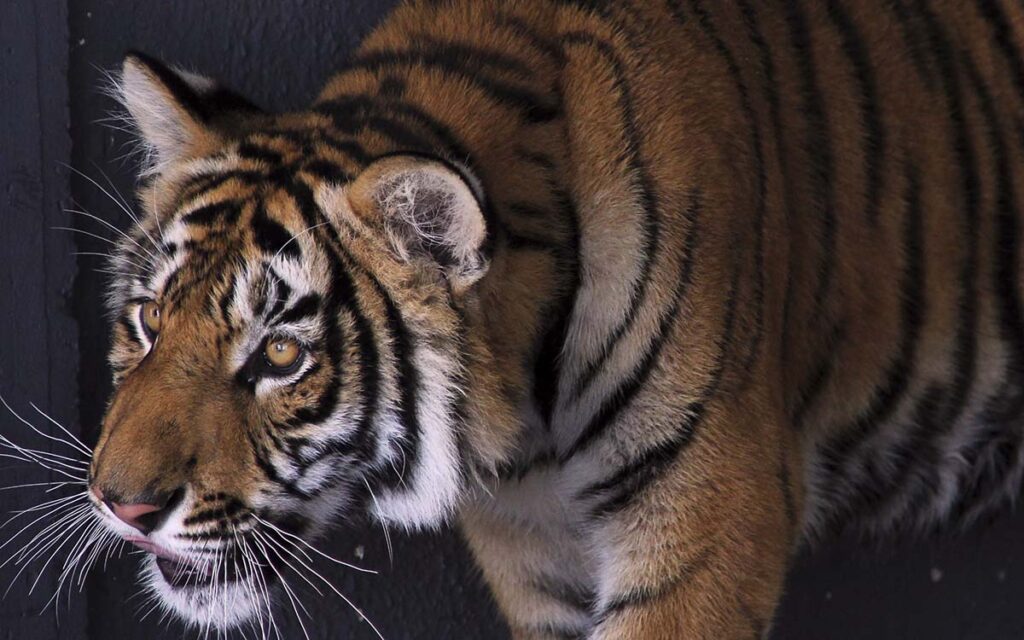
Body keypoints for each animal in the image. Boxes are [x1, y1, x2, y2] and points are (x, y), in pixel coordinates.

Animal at [65, 0, 1024, 637]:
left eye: (281, 356)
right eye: (148, 319)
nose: (121, 505)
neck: (531, 410)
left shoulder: (710, 514)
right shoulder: (538, 551)